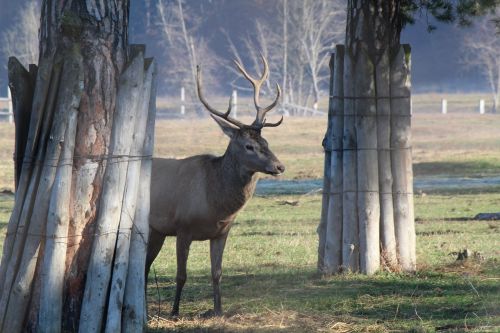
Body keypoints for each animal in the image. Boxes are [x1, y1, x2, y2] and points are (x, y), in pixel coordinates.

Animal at [145, 56, 286, 316]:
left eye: (266, 141)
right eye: (249, 146)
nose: (279, 166)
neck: (215, 205)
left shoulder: (222, 231)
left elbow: (217, 273)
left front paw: (218, 310)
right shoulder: (183, 227)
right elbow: (181, 275)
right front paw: (174, 311)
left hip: (157, 230)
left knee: (145, 265)